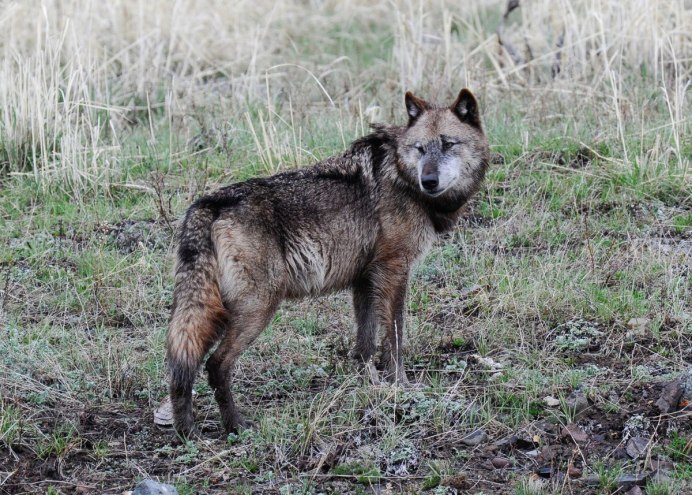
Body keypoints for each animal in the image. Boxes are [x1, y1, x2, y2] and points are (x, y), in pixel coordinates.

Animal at [166, 89, 492, 438]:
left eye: (448, 144)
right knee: (216, 365)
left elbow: (364, 344)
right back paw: (236, 426)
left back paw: (186, 432)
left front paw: (367, 383)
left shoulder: (365, 279)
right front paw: (400, 386)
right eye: (420, 148)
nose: (428, 180)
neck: (401, 176)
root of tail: (210, 203)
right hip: (258, 309)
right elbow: (394, 338)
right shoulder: (394, 271)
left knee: (182, 363)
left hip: (210, 311)